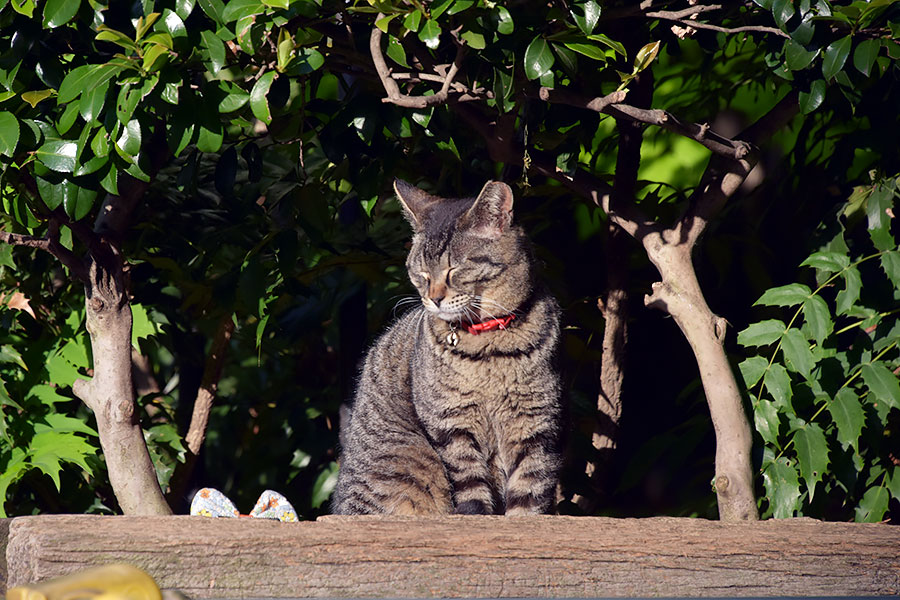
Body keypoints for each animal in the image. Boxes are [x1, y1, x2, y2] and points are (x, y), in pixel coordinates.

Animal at [330, 178, 560, 516]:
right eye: (422, 274)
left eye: (454, 269)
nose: (434, 298)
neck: (487, 344)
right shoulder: (451, 425)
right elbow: (471, 490)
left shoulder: (535, 425)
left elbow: (529, 493)